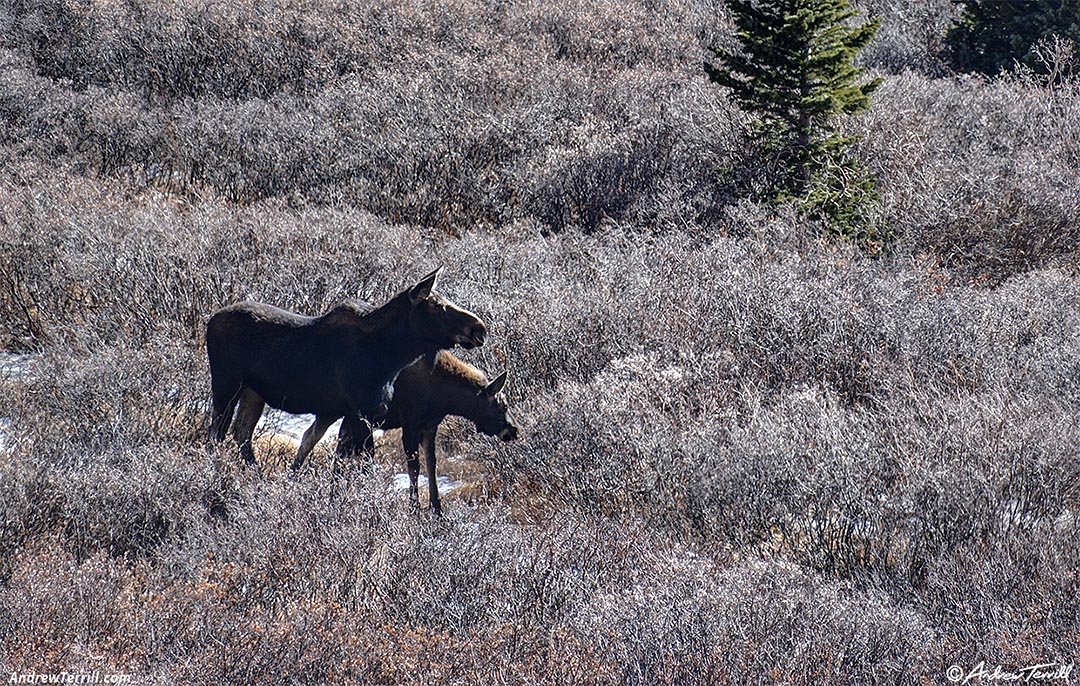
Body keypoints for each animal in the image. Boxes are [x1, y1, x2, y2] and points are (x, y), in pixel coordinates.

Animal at [206, 267, 486, 466]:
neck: (391, 355)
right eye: (438, 307)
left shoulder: (355, 414)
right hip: (225, 386)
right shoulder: (360, 413)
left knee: (241, 433)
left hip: (253, 393)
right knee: (216, 435)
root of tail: (210, 320)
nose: (479, 328)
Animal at [291, 352, 518, 512]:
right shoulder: (409, 422)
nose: (514, 430)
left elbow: (431, 463)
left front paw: (436, 509)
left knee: (314, 439)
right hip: (339, 412)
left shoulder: (429, 426)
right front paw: (414, 508)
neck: (445, 397)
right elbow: (414, 467)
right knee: (319, 441)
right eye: (503, 406)